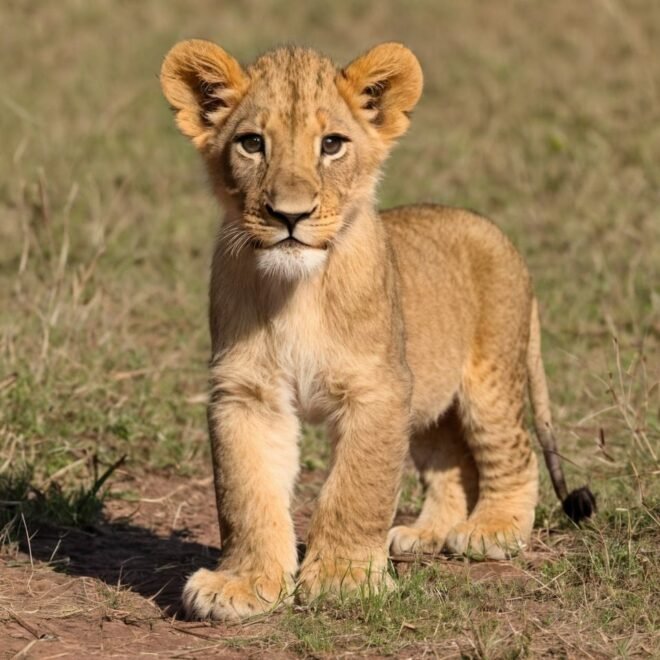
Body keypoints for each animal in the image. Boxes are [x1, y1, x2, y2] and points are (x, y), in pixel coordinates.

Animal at [160, 40, 595, 620]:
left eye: (332, 144)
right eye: (252, 143)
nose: (290, 216)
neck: (297, 290)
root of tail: (494, 231)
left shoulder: (378, 388)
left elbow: (356, 488)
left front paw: (343, 578)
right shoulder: (246, 392)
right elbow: (245, 494)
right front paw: (245, 584)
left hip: (490, 381)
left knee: (514, 453)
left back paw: (491, 531)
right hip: (429, 400)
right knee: (453, 465)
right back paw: (426, 534)